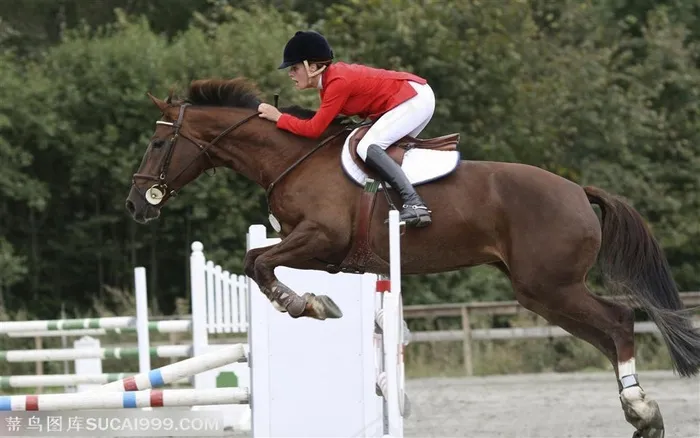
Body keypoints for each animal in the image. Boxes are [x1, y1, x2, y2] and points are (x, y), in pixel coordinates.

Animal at [125, 77, 700, 438]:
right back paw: (642, 414)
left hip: (549, 286)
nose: (135, 205)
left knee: (619, 321)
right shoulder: (321, 250)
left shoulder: (322, 239)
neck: (292, 158)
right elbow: (260, 262)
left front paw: (305, 305)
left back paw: (641, 411)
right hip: (541, 293)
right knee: (607, 333)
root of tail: (579, 191)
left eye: (156, 143)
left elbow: (258, 265)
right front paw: (313, 302)